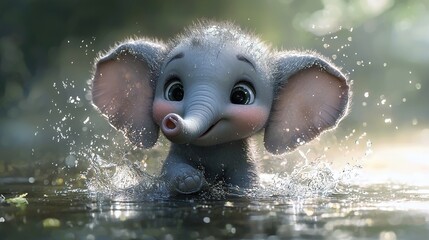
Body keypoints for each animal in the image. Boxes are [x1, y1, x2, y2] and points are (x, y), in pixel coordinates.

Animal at [90, 21, 348, 196]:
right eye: (175, 92)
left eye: (241, 96)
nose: (172, 120)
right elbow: (172, 171)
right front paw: (190, 181)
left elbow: (246, 184)